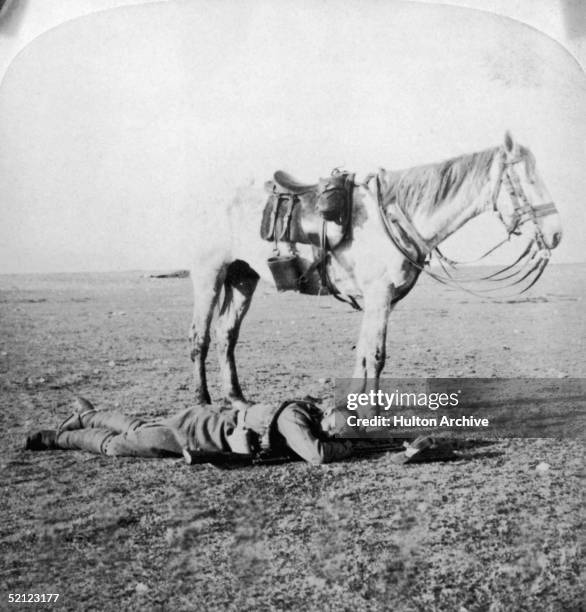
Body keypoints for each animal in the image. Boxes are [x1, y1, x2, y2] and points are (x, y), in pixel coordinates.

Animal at [189, 131, 560, 404]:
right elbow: (378, 354)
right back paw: (202, 400)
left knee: (226, 334)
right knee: (200, 336)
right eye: (527, 180)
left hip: (242, 277)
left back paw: (236, 398)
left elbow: (366, 353)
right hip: (209, 275)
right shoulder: (379, 294)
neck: (396, 216)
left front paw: (356, 406)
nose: (556, 233)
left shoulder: (379, 299)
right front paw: (371, 412)